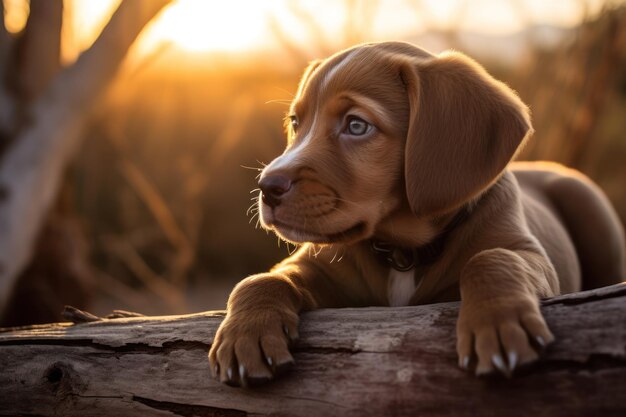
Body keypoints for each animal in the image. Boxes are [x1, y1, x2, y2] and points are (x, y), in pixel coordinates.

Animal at [207, 40, 620, 386]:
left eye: (356, 125)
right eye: (296, 123)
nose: (266, 186)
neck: (402, 253)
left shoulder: (531, 255)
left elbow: (493, 258)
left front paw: (498, 322)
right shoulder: (315, 271)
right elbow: (260, 279)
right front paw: (245, 334)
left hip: (591, 207)